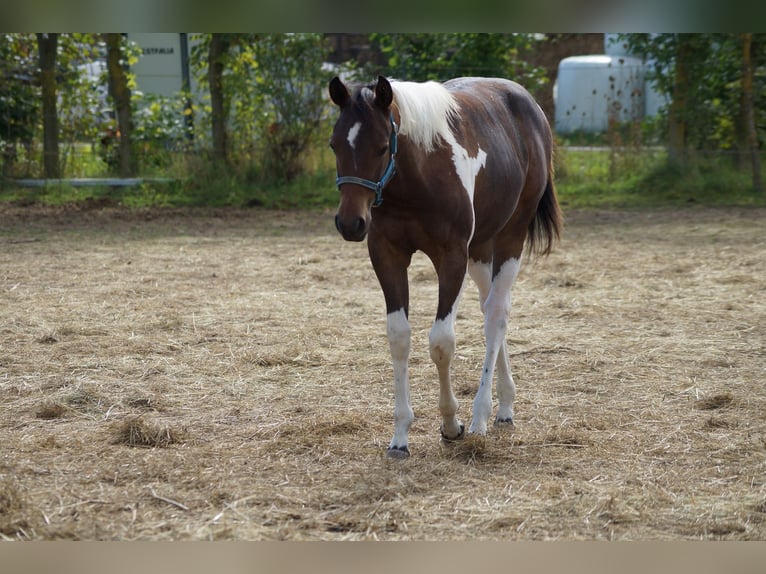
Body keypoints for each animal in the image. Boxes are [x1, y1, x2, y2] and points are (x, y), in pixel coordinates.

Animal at [328, 76, 560, 462]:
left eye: (381, 147)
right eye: (334, 145)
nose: (350, 223)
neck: (417, 177)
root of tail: (529, 105)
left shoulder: (451, 257)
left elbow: (441, 342)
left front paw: (452, 424)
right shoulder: (387, 256)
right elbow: (399, 337)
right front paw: (400, 436)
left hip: (510, 236)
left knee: (496, 315)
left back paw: (481, 416)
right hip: (480, 248)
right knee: (489, 309)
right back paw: (505, 405)